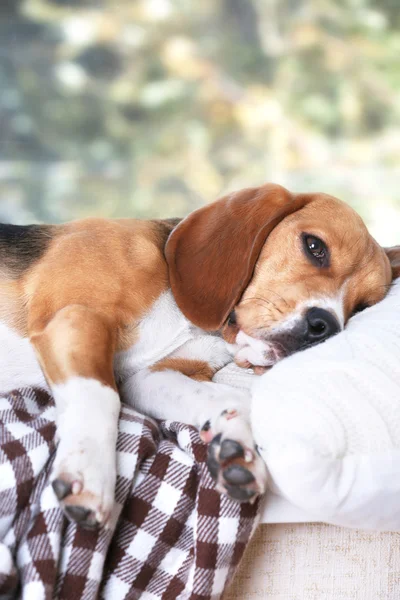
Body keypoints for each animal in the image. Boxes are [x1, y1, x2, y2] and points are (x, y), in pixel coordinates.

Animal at [0, 180, 396, 528]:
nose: (325, 326)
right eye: (315, 247)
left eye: (362, 307)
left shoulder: (147, 377)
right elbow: (101, 396)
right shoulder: (75, 318)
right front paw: (88, 473)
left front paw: (237, 445)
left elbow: (228, 396)